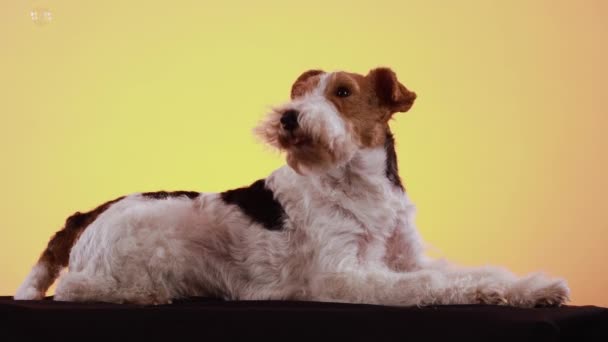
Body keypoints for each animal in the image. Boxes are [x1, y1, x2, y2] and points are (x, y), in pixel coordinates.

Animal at [14, 67, 568, 308]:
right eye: (299, 91)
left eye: (342, 91)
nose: (288, 116)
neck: (357, 185)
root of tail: (87, 214)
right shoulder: (343, 275)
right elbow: (431, 286)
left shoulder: (405, 259)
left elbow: (472, 272)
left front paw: (535, 289)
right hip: (138, 251)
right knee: (73, 289)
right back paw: (144, 296)